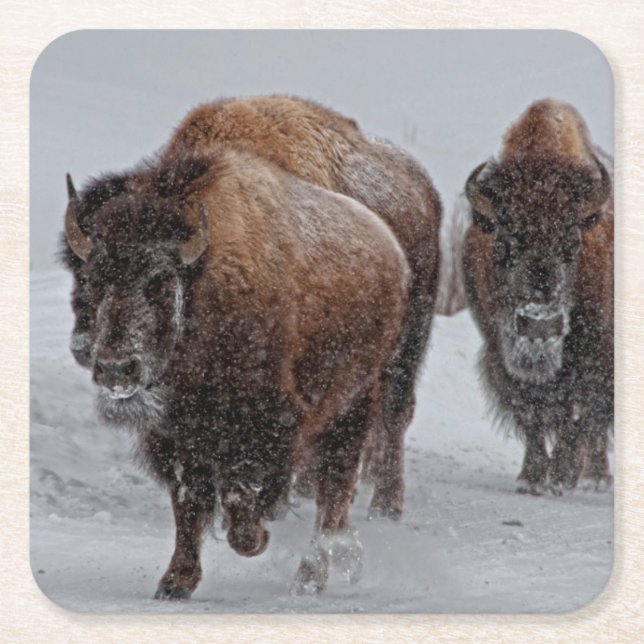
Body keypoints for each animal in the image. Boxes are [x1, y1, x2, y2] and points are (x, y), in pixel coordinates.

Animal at [462, 99, 613, 494]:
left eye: (572, 242)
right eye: (503, 243)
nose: (539, 326)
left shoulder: (594, 353)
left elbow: (579, 412)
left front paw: (560, 477)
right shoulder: (499, 350)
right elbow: (529, 410)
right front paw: (531, 478)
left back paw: (595, 476)